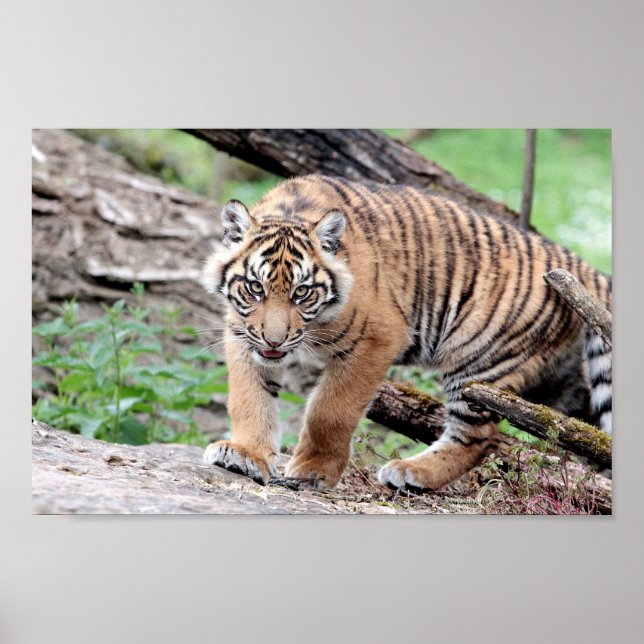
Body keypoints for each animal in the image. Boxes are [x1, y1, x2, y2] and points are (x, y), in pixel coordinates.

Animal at [201, 173, 612, 493]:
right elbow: (249, 397)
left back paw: (413, 472)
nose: (275, 340)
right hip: (557, 382)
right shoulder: (243, 335)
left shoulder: (376, 339)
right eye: (255, 288)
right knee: (577, 430)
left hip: (481, 364)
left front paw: (312, 472)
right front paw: (244, 455)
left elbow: (330, 411)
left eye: (302, 293)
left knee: (477, 438)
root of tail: (580, 267)